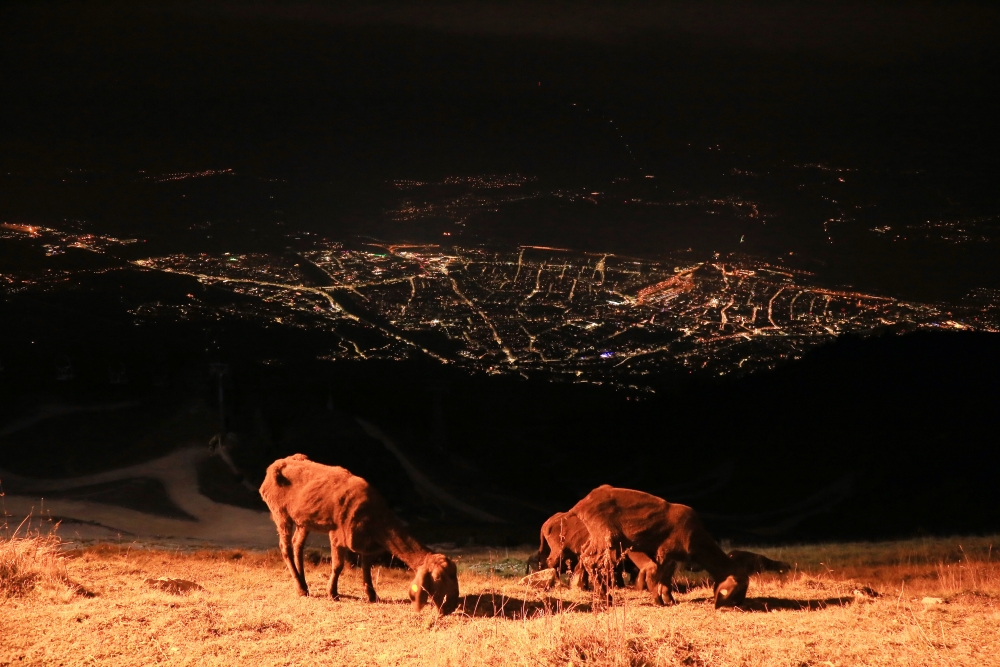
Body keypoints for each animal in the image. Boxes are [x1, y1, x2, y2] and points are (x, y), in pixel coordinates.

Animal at [258, 454, 460, 616]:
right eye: (438, 578)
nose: (451, 606)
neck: (377, 521)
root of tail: (275, 464)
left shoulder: (367, 544)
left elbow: (366, 568)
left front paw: (372, 595)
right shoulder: (338, 534)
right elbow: (338, 566)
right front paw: (333, 593)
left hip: (303, 520)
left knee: (297, 545)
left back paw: (303, 584)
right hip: (280, 512)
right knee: (285, 547)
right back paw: (300, 588)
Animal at [572, 486, 752, 612]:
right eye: (739, 589)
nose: (741, 605)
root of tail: (581, 504)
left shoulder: (672, 557)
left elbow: (666, 577)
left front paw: (669, 599)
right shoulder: (663, 551)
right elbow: (655, 574)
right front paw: (658, 601)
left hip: (596, 537)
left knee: (585, 555)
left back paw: (599, 594)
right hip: (606, 536)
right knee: (591, 561)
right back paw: (606, 596)